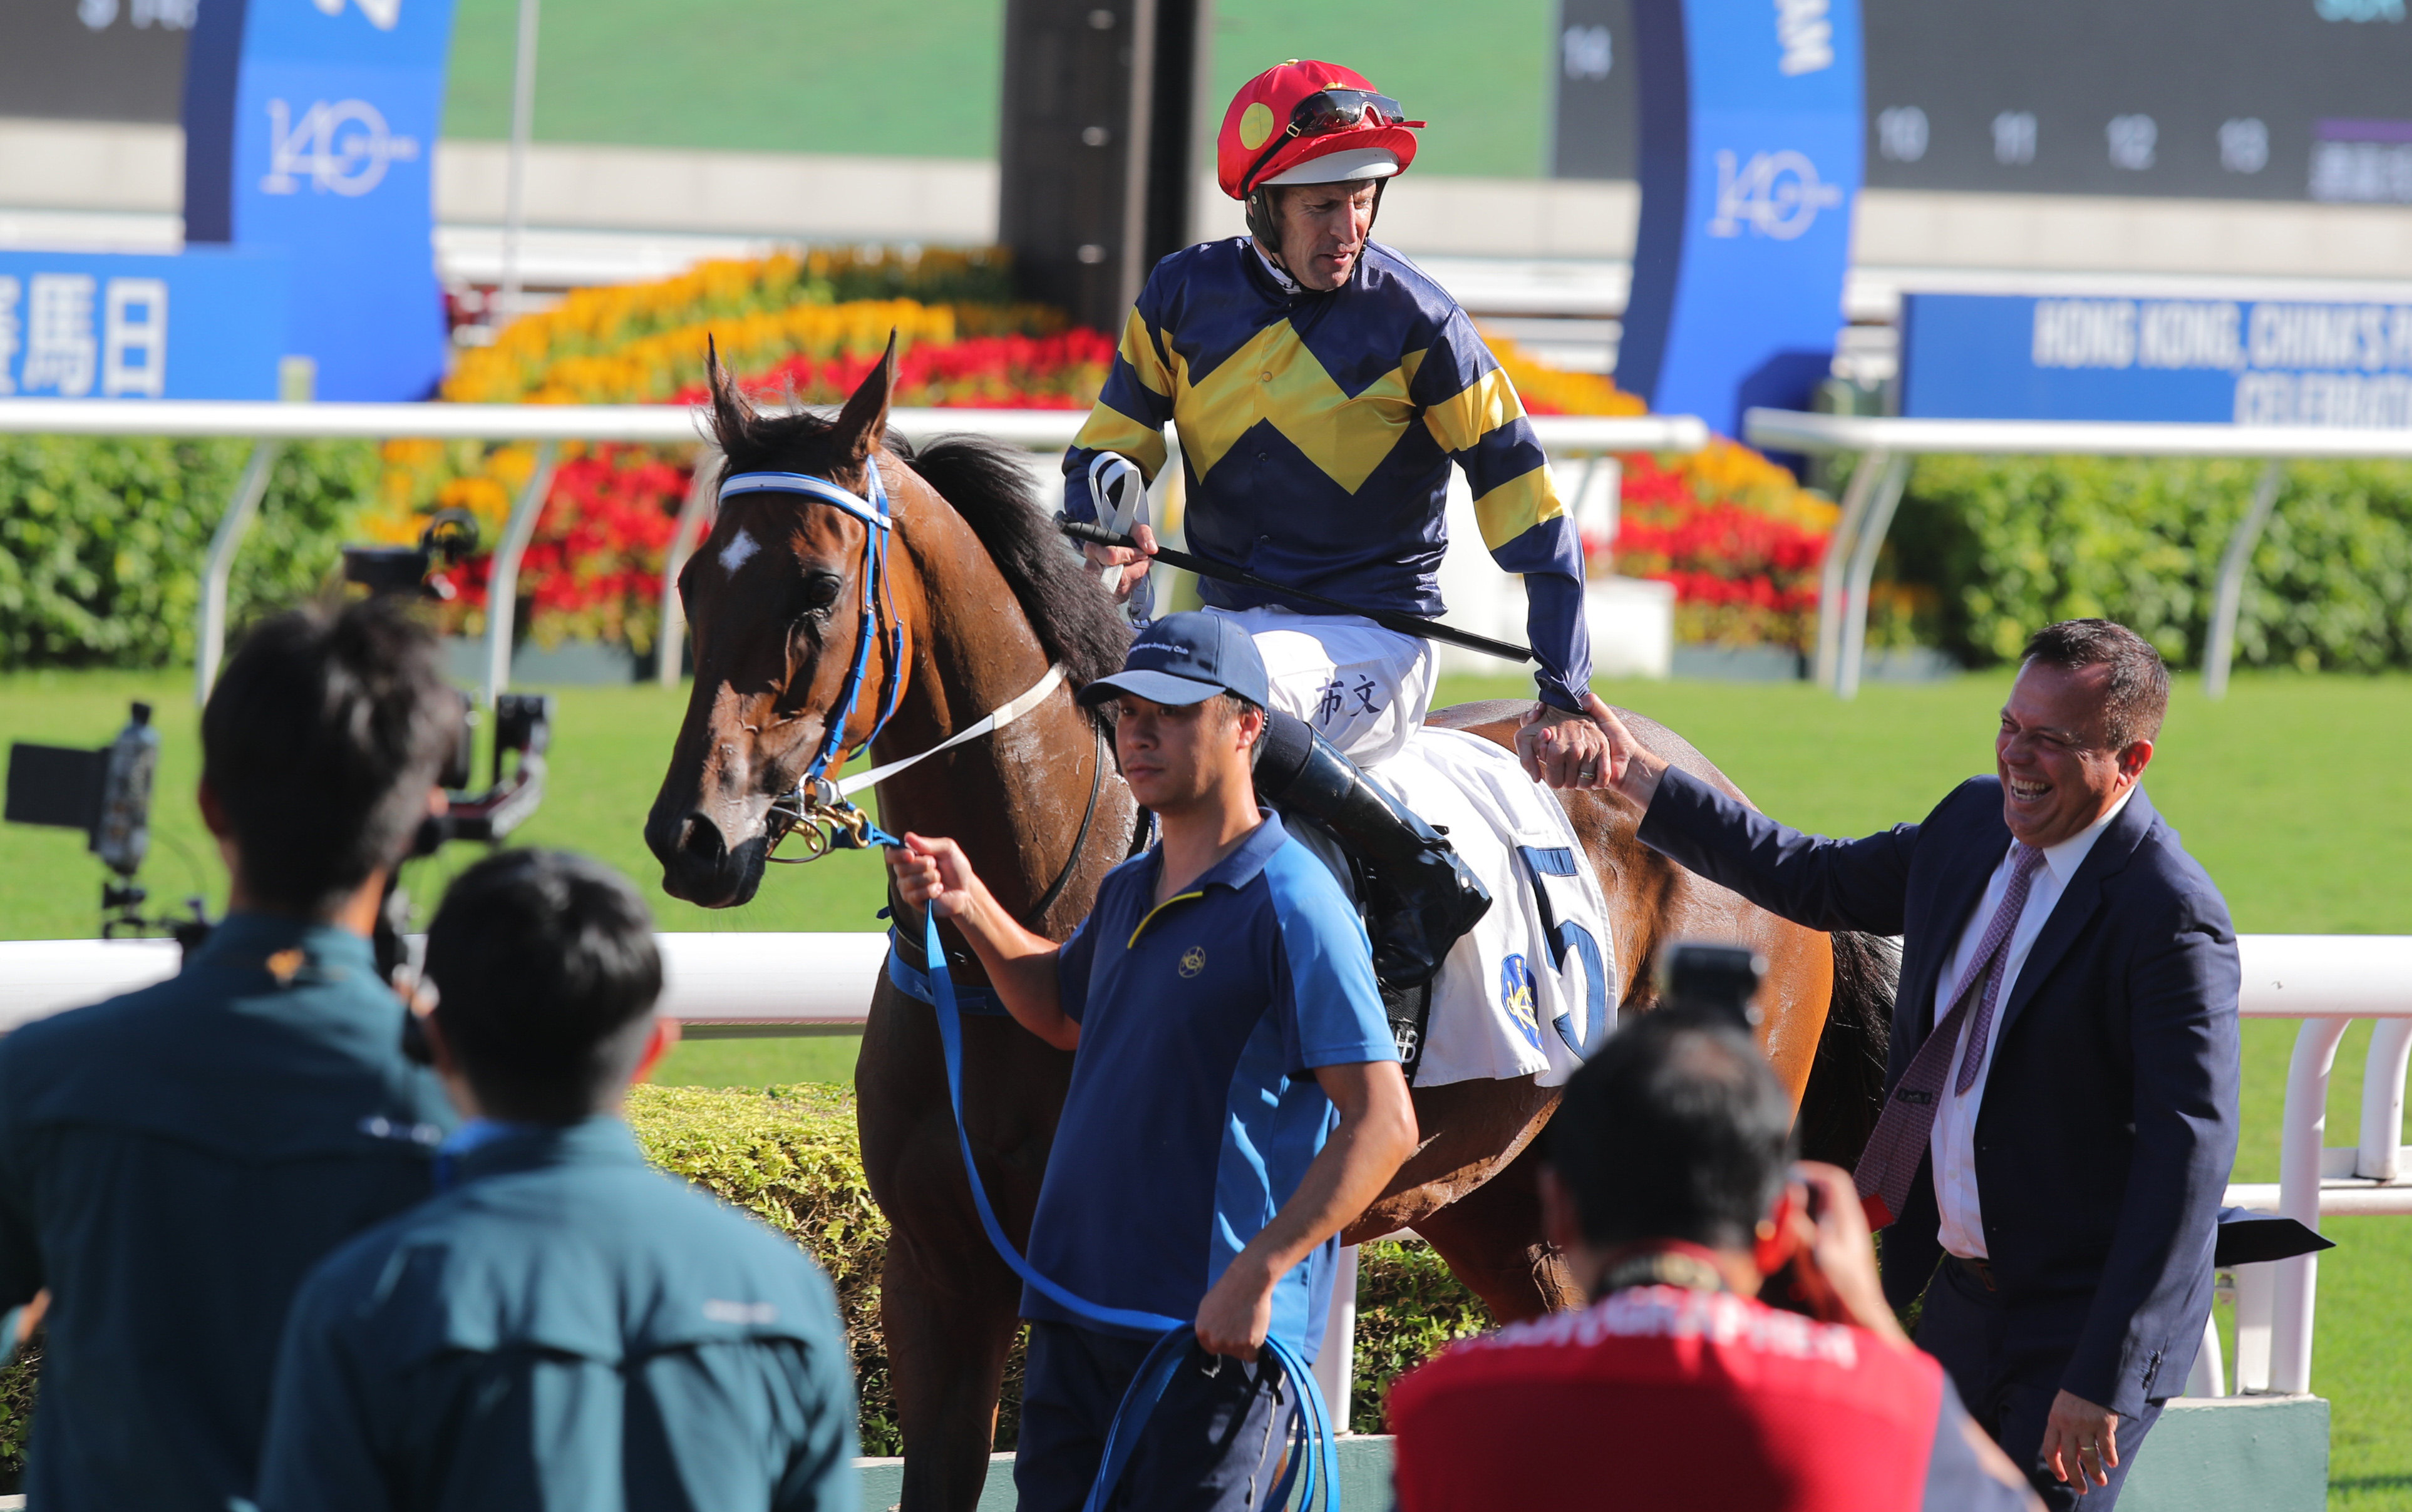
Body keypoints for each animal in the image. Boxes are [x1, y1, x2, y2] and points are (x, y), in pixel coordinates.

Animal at [651, 352, 1890, 1512]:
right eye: (692, 582)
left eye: (816, 588)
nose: (693, 835)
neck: (1050, 906)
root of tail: (1717, 790)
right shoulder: (936, 1273)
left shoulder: (1148, 1289)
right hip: (1506, 1209)